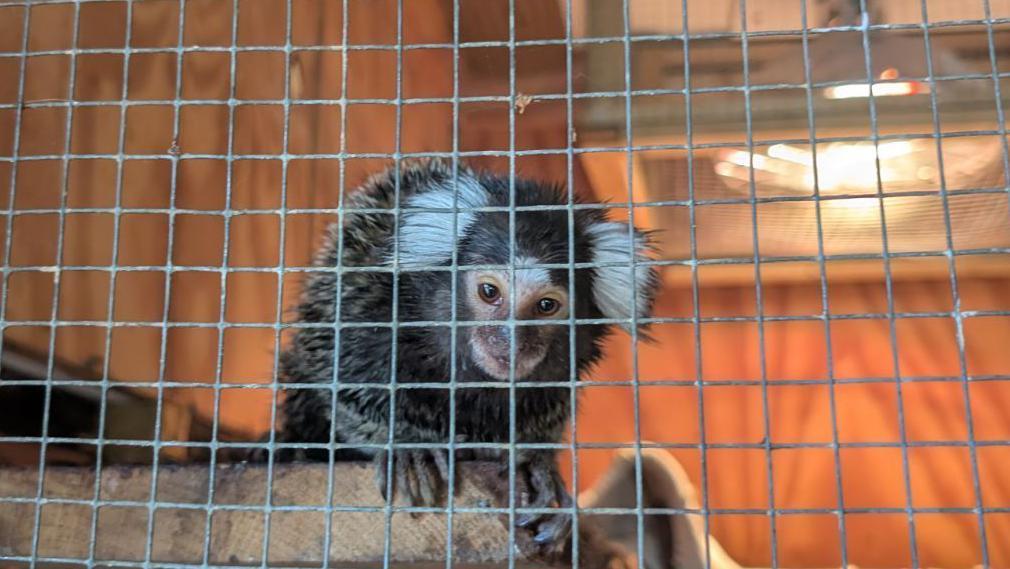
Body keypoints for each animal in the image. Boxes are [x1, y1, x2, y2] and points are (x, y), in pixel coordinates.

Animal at [271, 159, 659, 555]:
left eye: (546, 306)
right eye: (489, 291)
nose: (510, 342)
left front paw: (536, 464)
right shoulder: (363, 301)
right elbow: (344, 383)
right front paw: (408, 446)